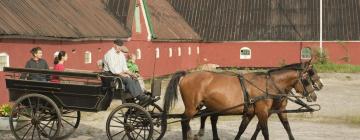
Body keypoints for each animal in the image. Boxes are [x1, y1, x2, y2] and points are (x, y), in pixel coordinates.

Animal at [163, 62, 318, 140]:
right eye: (307, 78)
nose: (314, 96)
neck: (269, 84)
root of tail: (186, 75)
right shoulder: (262, 111)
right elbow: (265, 131)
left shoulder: (255, 112)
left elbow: (243, 129)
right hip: (192, 107)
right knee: (184, 120)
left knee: (205, 118)